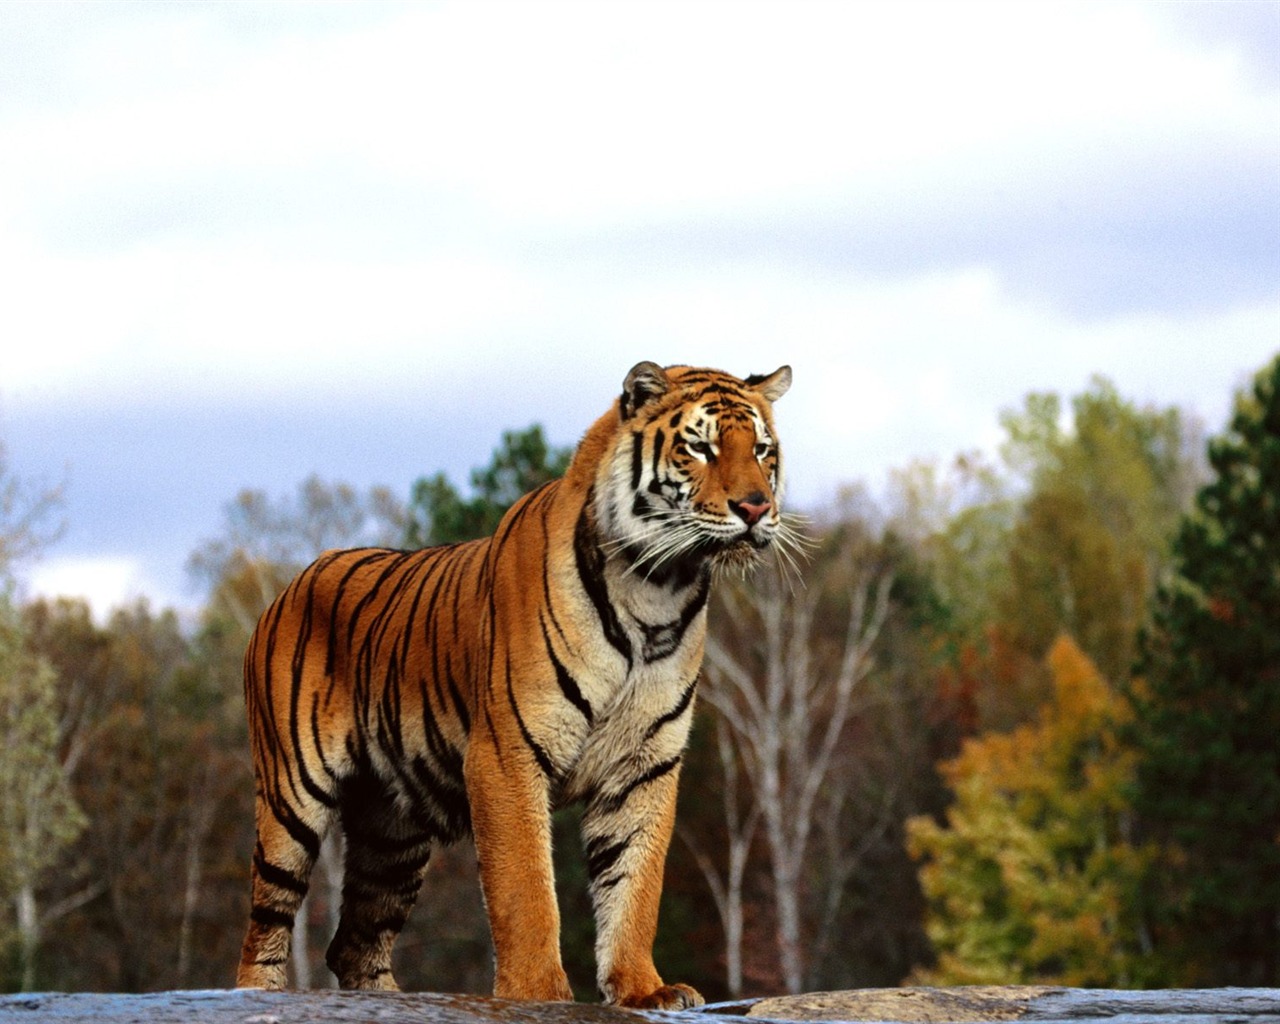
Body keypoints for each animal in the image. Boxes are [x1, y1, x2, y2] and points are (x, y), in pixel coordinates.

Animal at [232, 360, 788, 1008]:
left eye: (762, 449)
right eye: (700, 447)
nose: (756, 508)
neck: (657, 591)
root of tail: (290, 583)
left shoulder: (645, 765)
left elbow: (635, 883)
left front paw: (643, 989)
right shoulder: (507, 753)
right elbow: (526, 889)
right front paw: (537, 992)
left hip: (392, 830)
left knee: (355, 941)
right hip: (291, 796)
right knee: (265, 926)